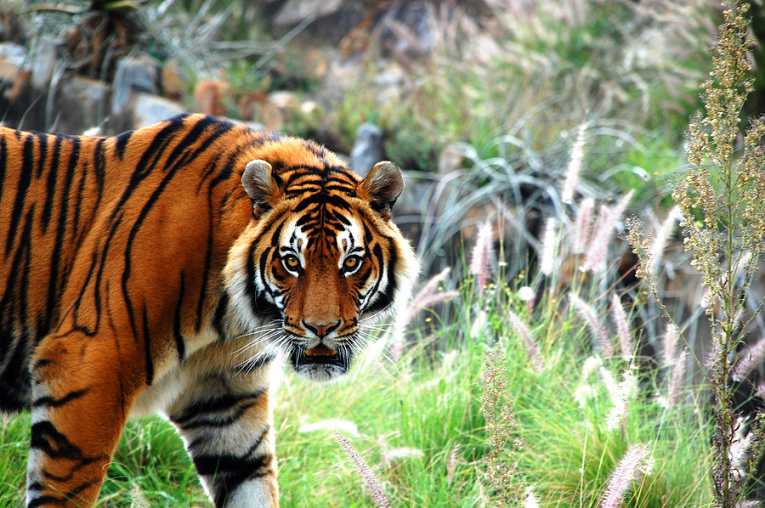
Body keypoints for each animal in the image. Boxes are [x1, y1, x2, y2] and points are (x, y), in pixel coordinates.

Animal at [0, 113, 418, 507]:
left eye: (351, 262)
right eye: (291, 262)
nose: (321, 327)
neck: (233, 320)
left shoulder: (226, 404)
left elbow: (254, 488)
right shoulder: (90, 367)